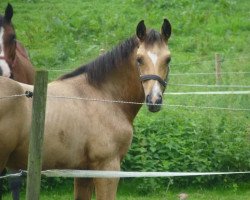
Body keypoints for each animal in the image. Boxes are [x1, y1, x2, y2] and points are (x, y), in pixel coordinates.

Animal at [0, 19, 171, 200]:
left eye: (168, 59)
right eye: (139, 59)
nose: (154, 100)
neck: (102, 96)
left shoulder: (83, 171)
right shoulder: (107, 168)